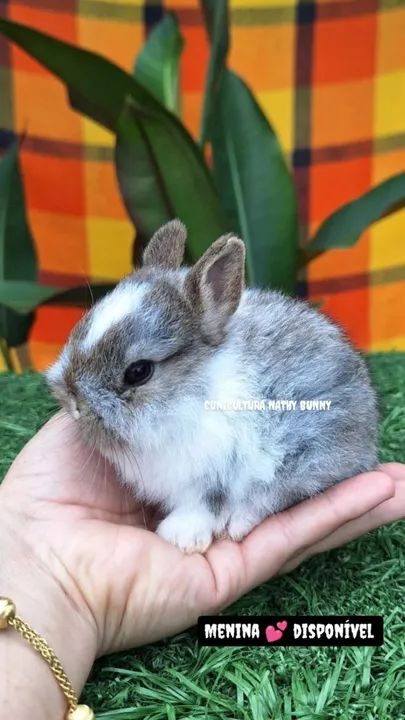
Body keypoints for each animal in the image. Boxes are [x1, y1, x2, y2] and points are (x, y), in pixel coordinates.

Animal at [46, 219, 378, 554]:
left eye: (138, 372)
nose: (74, 402)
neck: (189, 396)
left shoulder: (214, 472)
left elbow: (207, 504)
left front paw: (182, 537)